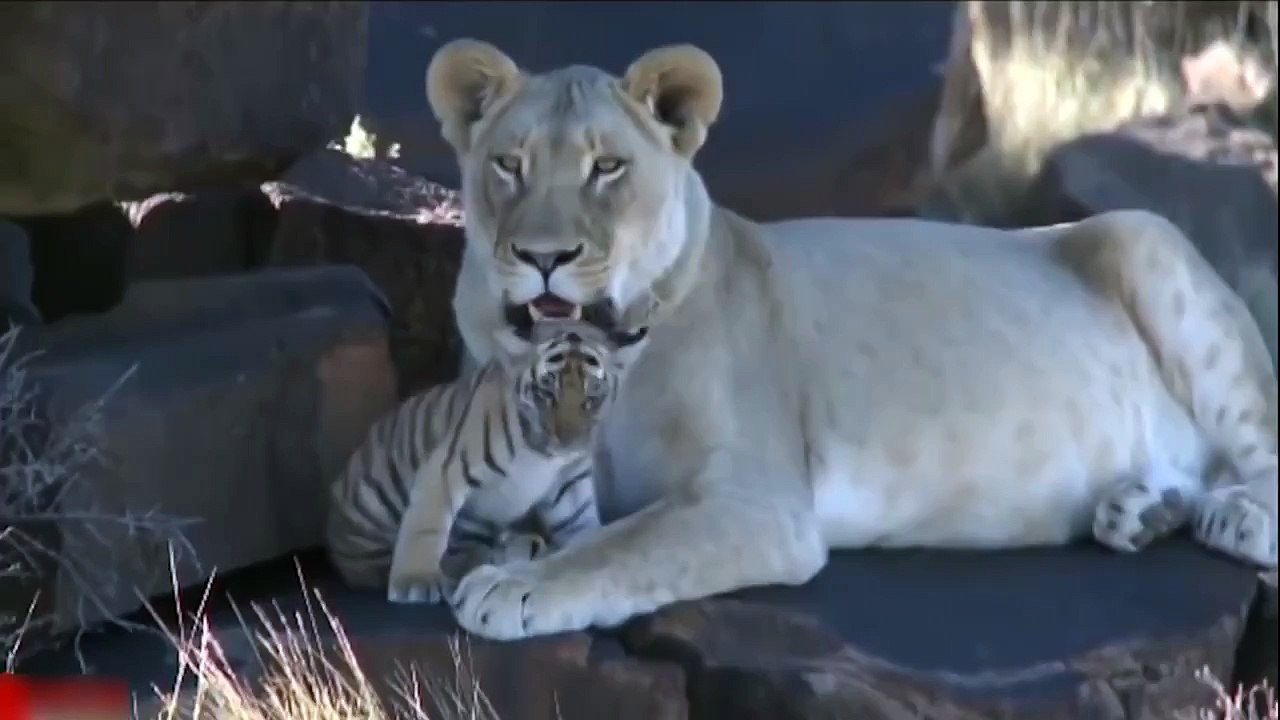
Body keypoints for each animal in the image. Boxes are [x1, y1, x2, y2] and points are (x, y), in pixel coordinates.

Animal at [324, 315, 650, 605]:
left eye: (592, 398)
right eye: (547, 393)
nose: (568, 442)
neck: (544, 457)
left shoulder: (570, 485)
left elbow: (581, 525)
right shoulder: (445, 470)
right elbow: (426, 527)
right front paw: (416, 582)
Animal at [420, 38, 1279, 641]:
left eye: (607, 167)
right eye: (509, 164)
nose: (544, 257)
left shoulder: (758, 502)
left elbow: (624, 544)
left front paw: (512, 587)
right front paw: (505, 562)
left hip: (1146, 239)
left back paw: (1234, 518)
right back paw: (1140, 511)